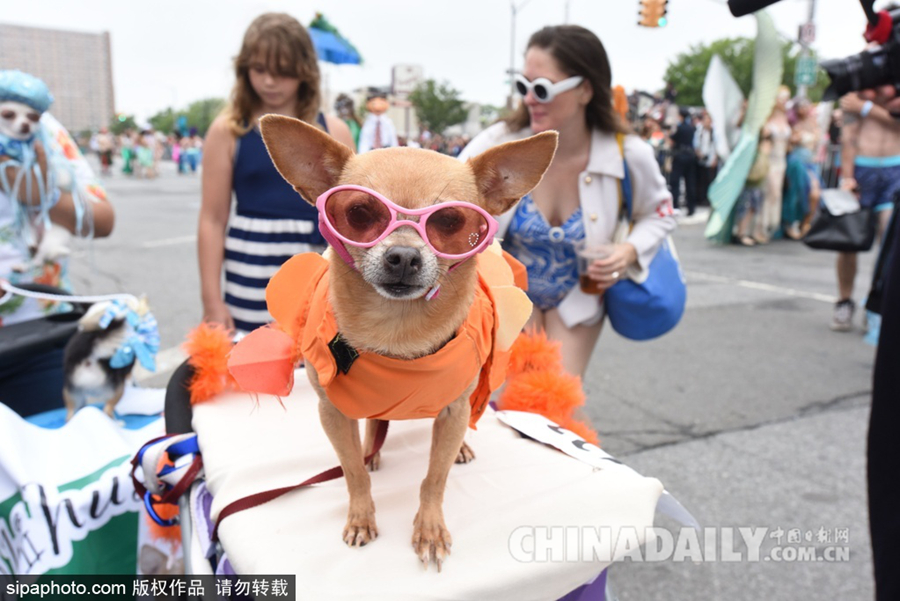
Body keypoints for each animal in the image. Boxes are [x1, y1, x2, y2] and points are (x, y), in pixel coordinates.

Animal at [255, 115, 556, 568]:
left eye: (450, 222)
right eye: (360, 212)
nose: (403, 256)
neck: (398, 332)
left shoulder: (451, 412)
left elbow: (435, 477)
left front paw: (429, 528)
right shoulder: (332, 414)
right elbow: (352, 472)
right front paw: (361, 516)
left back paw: (460, 447)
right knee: (373, 426)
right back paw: (371, 447)